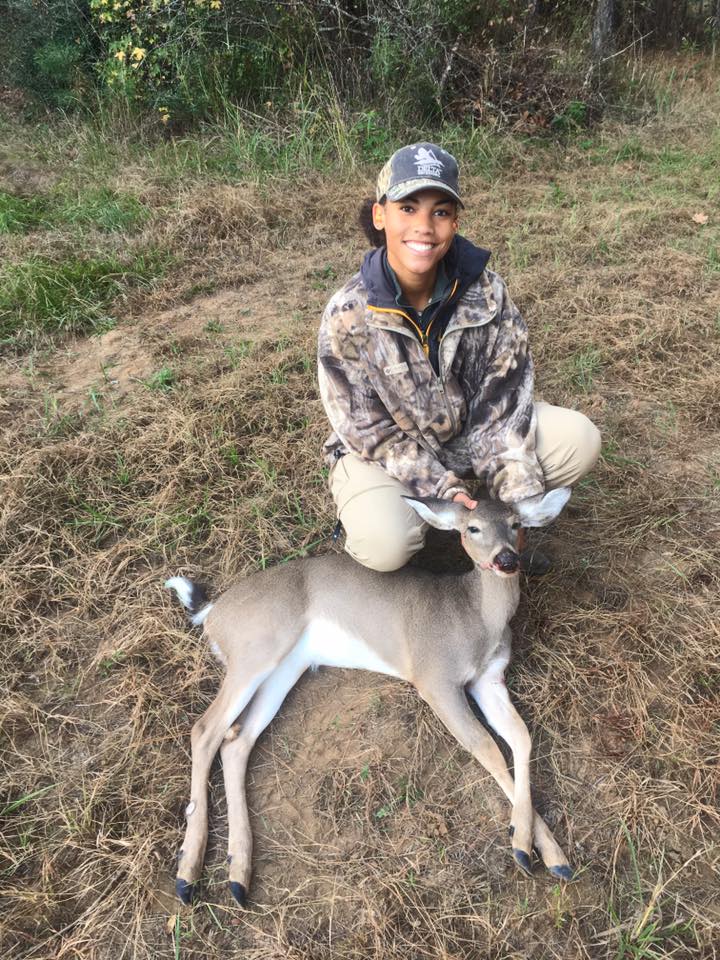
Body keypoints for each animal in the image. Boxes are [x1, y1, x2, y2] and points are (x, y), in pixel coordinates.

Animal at [165, 488, 575, 906]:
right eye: (472, 528)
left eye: (516, 524)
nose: (506, 559)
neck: (476, 621)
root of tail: (212, 614)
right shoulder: (435, 676)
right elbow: (487, 747)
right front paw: (522, 845)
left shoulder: (489, 680)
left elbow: (521, 737)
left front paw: (549, 853)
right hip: (255, 648)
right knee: (206, 729)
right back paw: (188, 872)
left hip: (285, 667)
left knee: (236, 741)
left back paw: (238, 874)